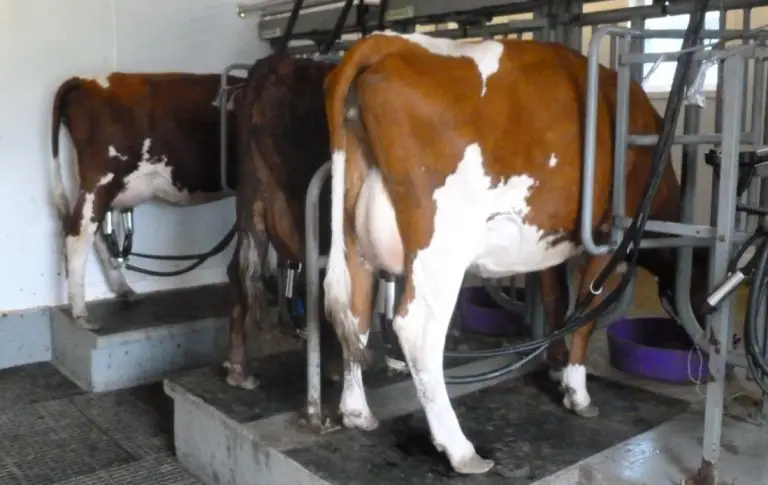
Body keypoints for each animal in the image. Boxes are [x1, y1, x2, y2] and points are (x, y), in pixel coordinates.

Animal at [50, 72, 242, 328]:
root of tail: (85, 80)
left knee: (93, 232)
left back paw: (123, 290)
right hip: (101, 178)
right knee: (78, 235)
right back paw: (81, 313)